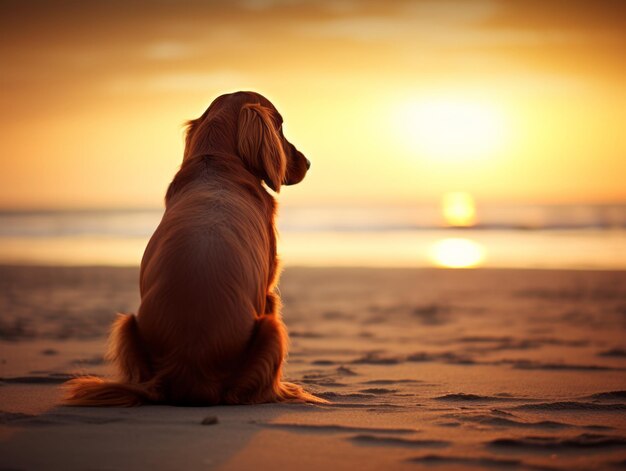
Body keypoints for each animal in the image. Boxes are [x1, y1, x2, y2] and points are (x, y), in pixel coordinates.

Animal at [62, 91, 324, 406]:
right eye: (280, 125)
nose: (308, 162)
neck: (216, 163)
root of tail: (186, 368)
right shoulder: (268, 290)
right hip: (272, 329)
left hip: (126, 324)